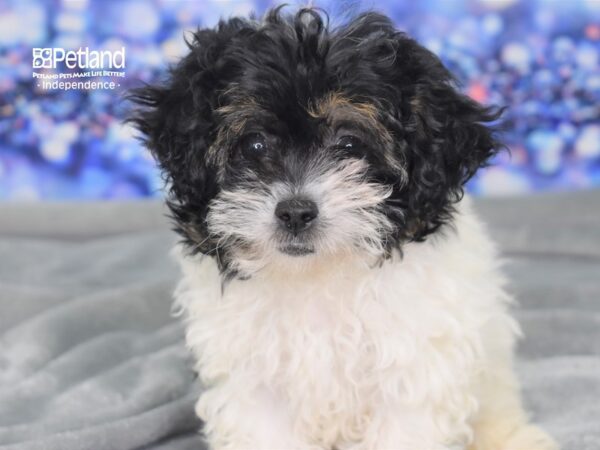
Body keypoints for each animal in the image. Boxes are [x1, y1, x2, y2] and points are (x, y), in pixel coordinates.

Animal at [130, 7, 556, 450]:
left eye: (350, 145)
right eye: (254, 145)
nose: (295, 212)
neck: (318, 275)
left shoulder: (413, 367)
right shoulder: (252, 377)